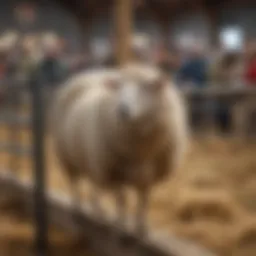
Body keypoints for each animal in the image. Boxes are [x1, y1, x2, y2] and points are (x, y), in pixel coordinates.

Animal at [51, 64, 189, 236]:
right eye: (119, 87)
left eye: (146, 86)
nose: (122, 110)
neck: (140, 151)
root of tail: (90, 73)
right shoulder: (115, 172)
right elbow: (121, 200)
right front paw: (121, 225)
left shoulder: (149, 175)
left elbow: (144, 201)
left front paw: (141, 227)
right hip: (69, 158)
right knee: (74, 183)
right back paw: (78, 208)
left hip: (92, 160)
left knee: (94, 186)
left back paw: (98, 210)